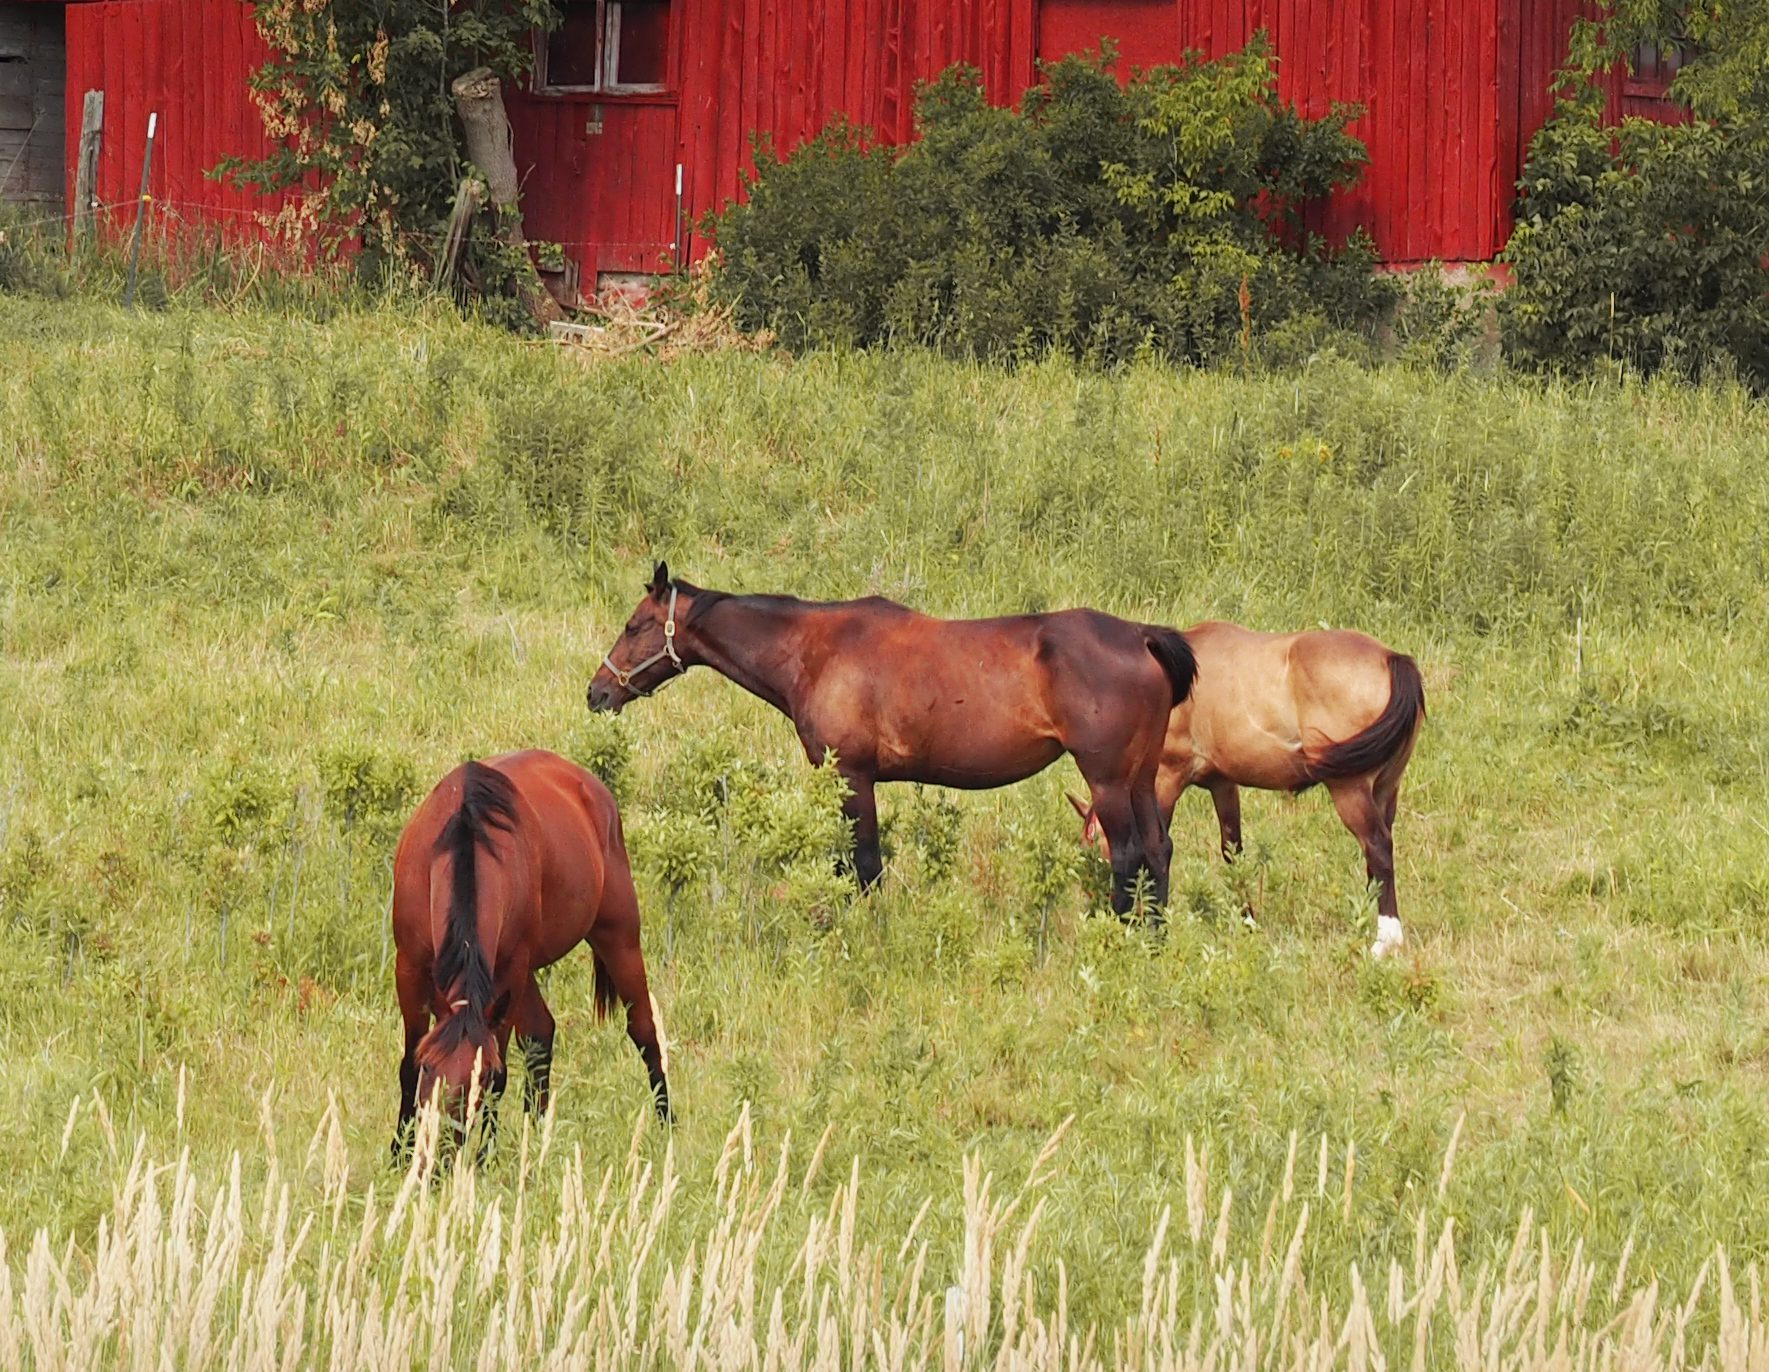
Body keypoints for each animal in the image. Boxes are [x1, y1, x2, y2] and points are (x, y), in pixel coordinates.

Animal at [392, 749, 668, 1159]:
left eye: (479, 1077)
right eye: (430, 1068)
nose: (442, 1153)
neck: (465, 839)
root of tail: (593, 789)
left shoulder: (509, 972)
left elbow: (502, 1071)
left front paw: (485, 1158)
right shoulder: (409, 968)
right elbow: (407, 1064)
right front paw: (399, 1154)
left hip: (619, 938)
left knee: (644, 1030)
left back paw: (668, 1126)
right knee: (542, 1033)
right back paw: (536, 1134)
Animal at [587, 558, 1195, 919]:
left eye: (634, 625)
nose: (598, 692)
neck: (813, 651)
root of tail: (1141, 636)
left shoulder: (853, 774)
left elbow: (863, 862)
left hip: (1108, 780)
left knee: (1129, 854)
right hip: (1142, 778)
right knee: (1159, 850)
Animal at [1061, 622, 1422, 954]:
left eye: (1093, 848)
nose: (1097, 909)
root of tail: (1391, 658)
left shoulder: (1166, 777)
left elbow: (1155, 848)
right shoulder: (1223, 784)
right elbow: (1233, 850)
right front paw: (1247, 920)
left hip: (1350, 789)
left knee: (1377, 846)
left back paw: (1386, 940)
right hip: (1385, 788)